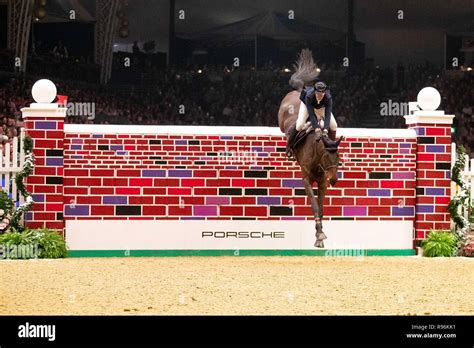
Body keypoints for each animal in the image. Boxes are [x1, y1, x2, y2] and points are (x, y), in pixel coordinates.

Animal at [278, 50, 340, 249]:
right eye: (326, 158)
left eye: (338, 158)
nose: (334, 180)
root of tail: (300, 90)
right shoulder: (306, 180)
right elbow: (313, 205)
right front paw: (319, 235)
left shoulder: (322, 182)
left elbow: (320, 207)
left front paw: (320, 233)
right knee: (294, 126)